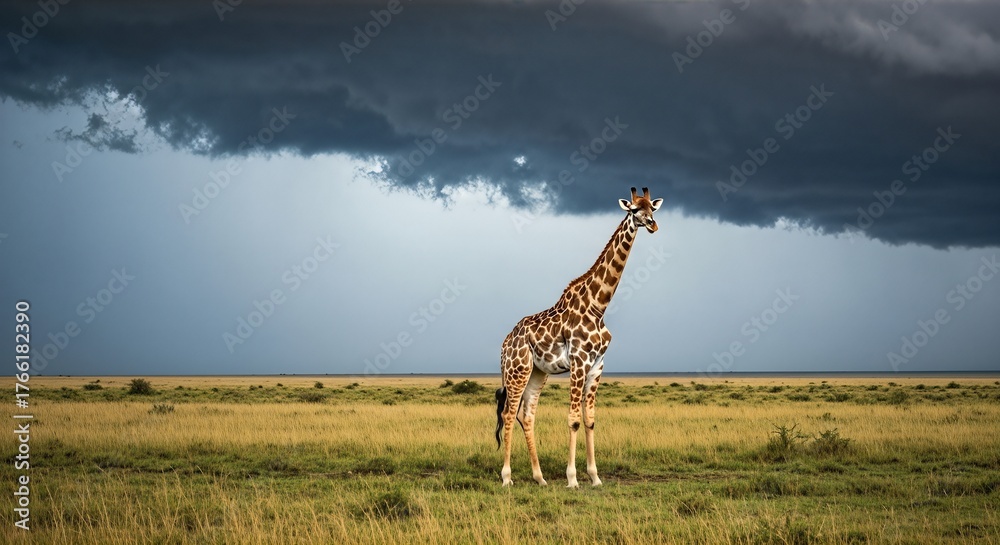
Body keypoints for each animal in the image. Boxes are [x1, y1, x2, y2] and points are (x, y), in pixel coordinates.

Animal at [495, 187, 663, 487]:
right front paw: (572, 479)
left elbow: (590, 419)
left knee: (527, 416)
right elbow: (573, 419)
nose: (653, 225)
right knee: (508, 413)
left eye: (653, 209)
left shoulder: (597, 365)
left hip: (538, 372)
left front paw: (595, 477)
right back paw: (507, 478)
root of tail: (504, 344)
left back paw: (540, 478)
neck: (598, 306)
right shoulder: (578, 360)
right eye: (634, 210)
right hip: (518, 370)